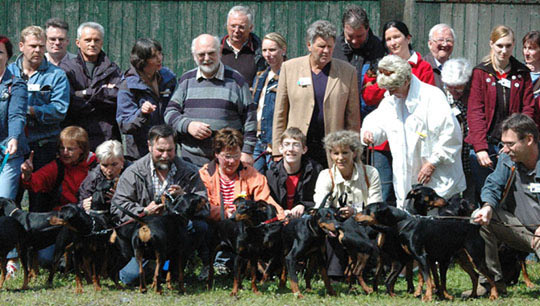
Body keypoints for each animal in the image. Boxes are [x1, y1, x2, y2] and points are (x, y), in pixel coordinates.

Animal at [356, 202, 500, 300]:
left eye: (367, 210)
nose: (355, 216)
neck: (404, 222)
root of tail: (476, 227)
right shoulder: (426, 260)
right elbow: (430, 279)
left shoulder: (422, 257)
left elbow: (428, 279)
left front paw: (427, 297)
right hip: (463, 259)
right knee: (475, 276)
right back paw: (473, 295)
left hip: (476, 258)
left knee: (490, 276)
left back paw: (494, 296)